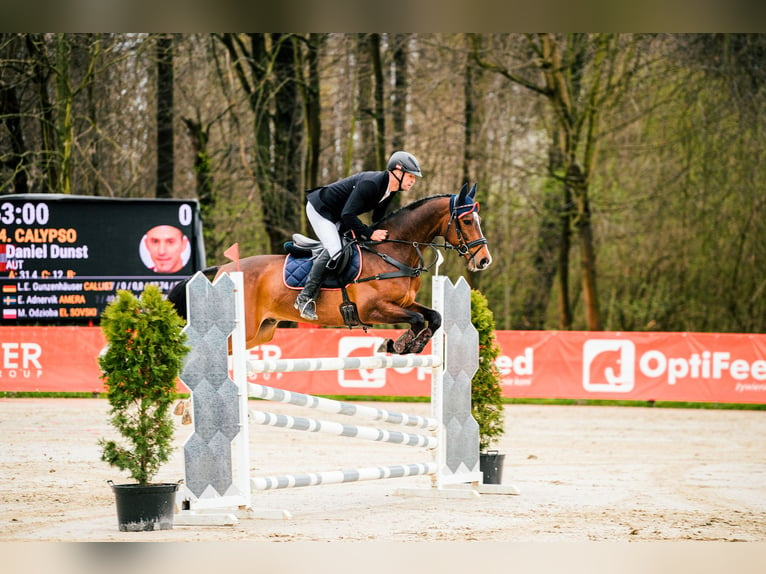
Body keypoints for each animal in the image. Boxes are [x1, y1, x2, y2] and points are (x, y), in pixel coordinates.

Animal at [169, 184, 496, 356]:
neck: (391, 252)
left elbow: (434, 316)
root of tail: (222, 269)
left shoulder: (402, 303)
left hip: (261, 332)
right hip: (244, 329)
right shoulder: (373, 309)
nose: (484, 261)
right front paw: (398, 344)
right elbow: (416, 319)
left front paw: (408, 344)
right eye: (467, 221)